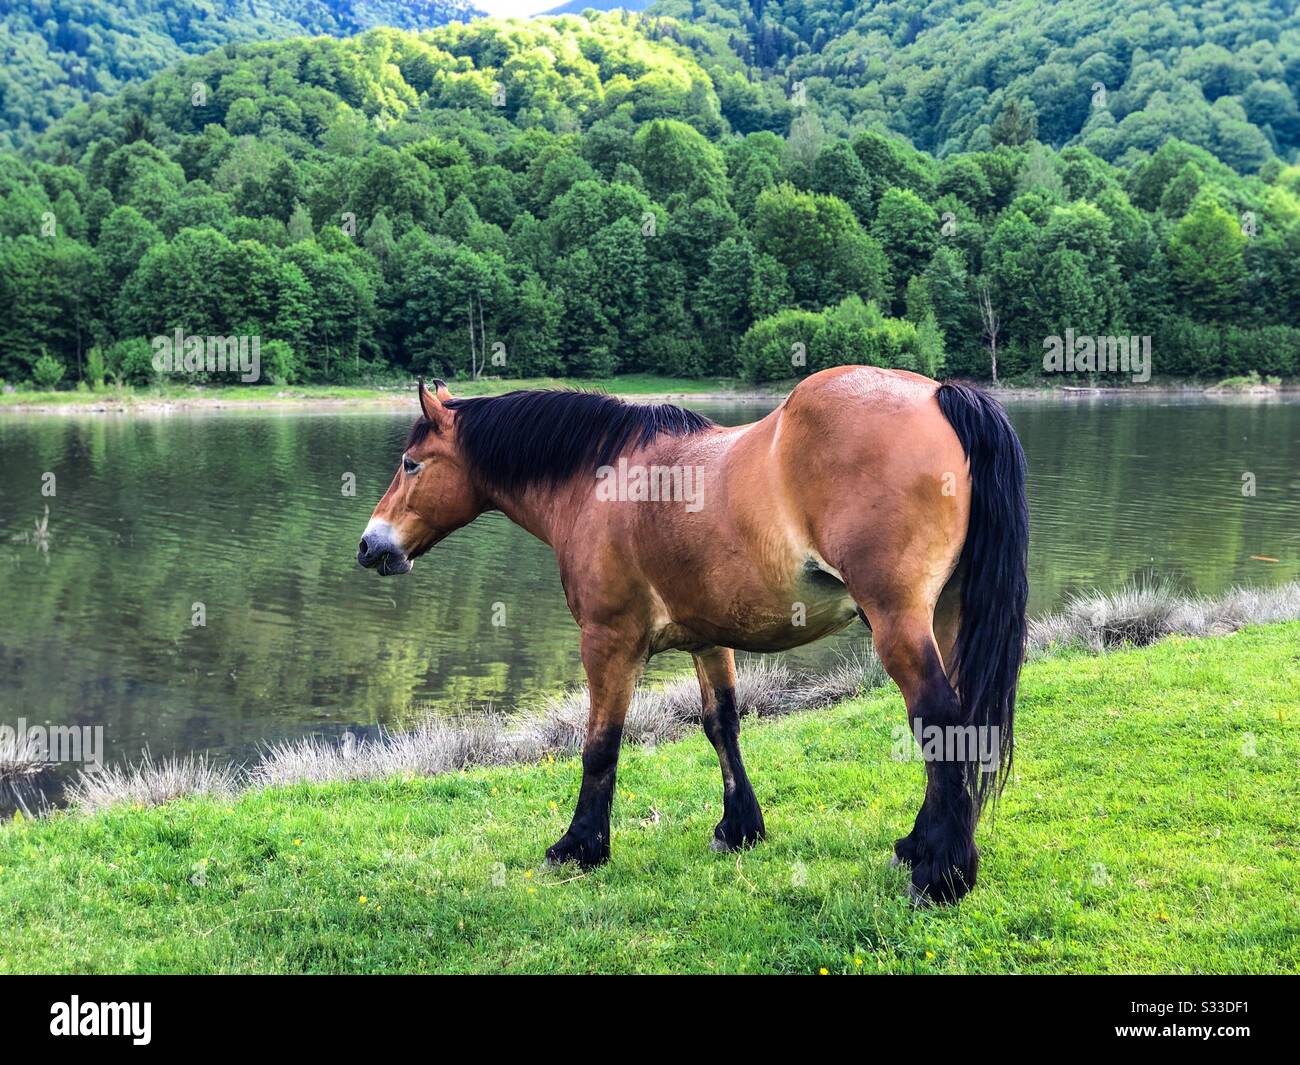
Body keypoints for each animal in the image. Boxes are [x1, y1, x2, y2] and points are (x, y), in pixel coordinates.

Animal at [358, 367, 1028, 903]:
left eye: (411, 464)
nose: (370, 545)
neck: (601, 480)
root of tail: (939, 395)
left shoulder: (609, 642)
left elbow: (601, 745)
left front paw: (581, 846)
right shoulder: (710, 639)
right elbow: (722, 725)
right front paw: (740, 829)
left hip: (898, 621)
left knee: (938, 715)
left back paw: (941, 876)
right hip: (944, 617)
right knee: (957, 722)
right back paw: (919, 846)